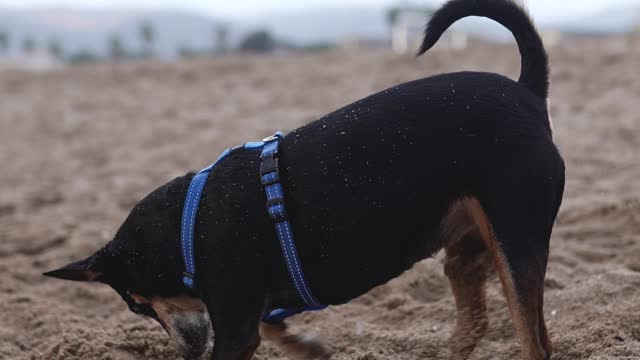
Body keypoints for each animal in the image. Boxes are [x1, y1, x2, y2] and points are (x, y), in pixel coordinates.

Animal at [45, 0, 564, 360]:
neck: (189, 225)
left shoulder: (233, 328)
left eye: (138, 304)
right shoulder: (248, 311)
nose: (183, 352)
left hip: (515, 239)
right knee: (476, 316)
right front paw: (306, 344)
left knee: (535, 341)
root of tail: (527, 92)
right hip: (467, 245)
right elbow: (275, 325)